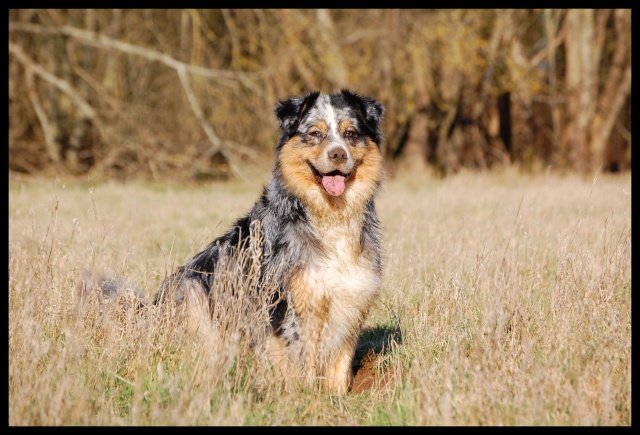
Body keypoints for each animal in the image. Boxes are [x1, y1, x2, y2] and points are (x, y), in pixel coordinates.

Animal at [87, 89, 384, 396]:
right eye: (315, 133)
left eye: (350, 133)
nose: (338, 153)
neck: (330, 215)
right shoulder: (290, 307)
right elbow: (300, 366)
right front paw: (301, 398)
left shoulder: (351, 301)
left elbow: (340, 367)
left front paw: (336, 399)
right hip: (190, 289)